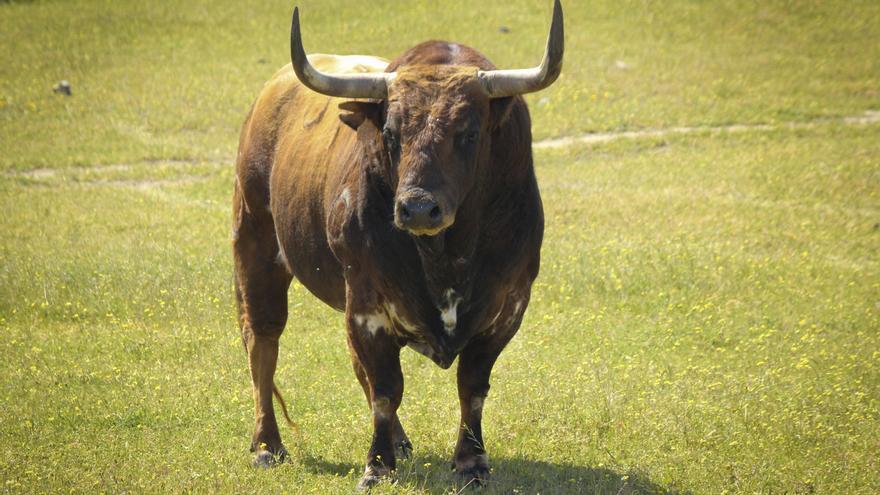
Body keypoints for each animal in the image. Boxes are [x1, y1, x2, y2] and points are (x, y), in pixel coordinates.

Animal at [232, 0, 564, 488]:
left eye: (469, 133)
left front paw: (472, 462)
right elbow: (387, 389)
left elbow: (472, 386)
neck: (446, 257)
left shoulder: (508, 306)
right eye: (390, 133)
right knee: (263, 341)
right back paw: (266, 445)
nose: (419, 209)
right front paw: (376, 465)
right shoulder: (366, 306)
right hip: (255, 245)